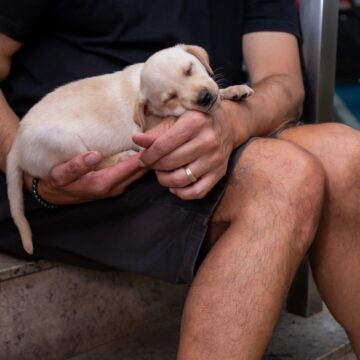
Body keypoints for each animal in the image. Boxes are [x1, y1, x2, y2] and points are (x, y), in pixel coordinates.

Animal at [5, 44, 253, 253]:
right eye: (170, 98)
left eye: (189, 69)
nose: (204, 97)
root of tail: (15, 148)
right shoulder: (151, 127)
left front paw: (233, 90)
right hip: (62, 140)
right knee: (93, 163)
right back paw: (120, 157)